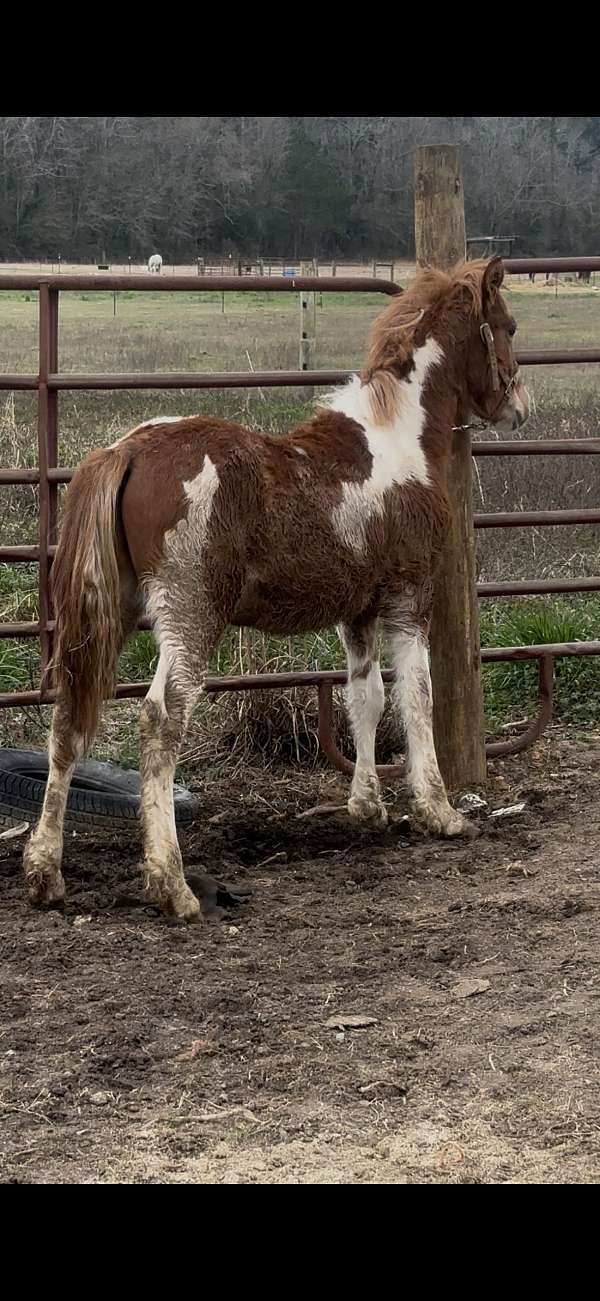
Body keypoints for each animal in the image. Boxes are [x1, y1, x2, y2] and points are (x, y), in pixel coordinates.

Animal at [23, 257, 529, 922]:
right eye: (509, 327)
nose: (520, 406)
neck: (395, 439)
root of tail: (126, 449)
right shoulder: (408, 600)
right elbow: (416, 699)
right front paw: (439, 813)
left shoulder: (357, 612)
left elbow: (364, 701)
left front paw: (367, 807)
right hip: (191, 616)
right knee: (160, 722)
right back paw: (172, 885)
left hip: (107, 617)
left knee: (67, 722)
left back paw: (45, 874)